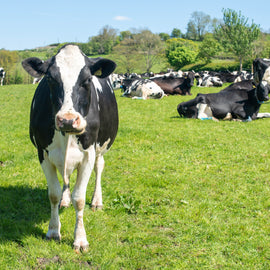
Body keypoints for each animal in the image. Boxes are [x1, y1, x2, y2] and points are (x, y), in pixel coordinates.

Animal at [21, 43, 118, 251]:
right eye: (50, 78)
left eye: (88, 79)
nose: (67, 120)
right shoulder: (43, 153)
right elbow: (54, 194)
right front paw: (52, 231)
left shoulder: (88, 154)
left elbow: (79, 198)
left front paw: (80, 239)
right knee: (65, 177)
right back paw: (65, 200)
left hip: (101, 148)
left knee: (99, 167)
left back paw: (97, 201)